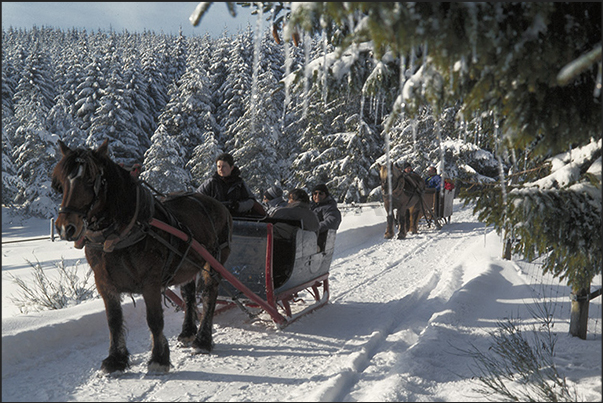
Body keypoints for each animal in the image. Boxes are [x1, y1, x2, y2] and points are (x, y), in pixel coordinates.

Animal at [51, 140, 234, 376]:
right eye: (61, 182)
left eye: (91, 179)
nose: (66, 227)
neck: (120, 233)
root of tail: (220, 206)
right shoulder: (104, 282)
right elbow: (114, 321)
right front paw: (116, 359)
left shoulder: (151, 281)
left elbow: (154, 320)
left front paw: (159, 359)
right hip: (187, 265)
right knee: (189, 296)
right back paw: (187, 332)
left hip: (213, 263)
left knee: (210, 294)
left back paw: (202, 340)